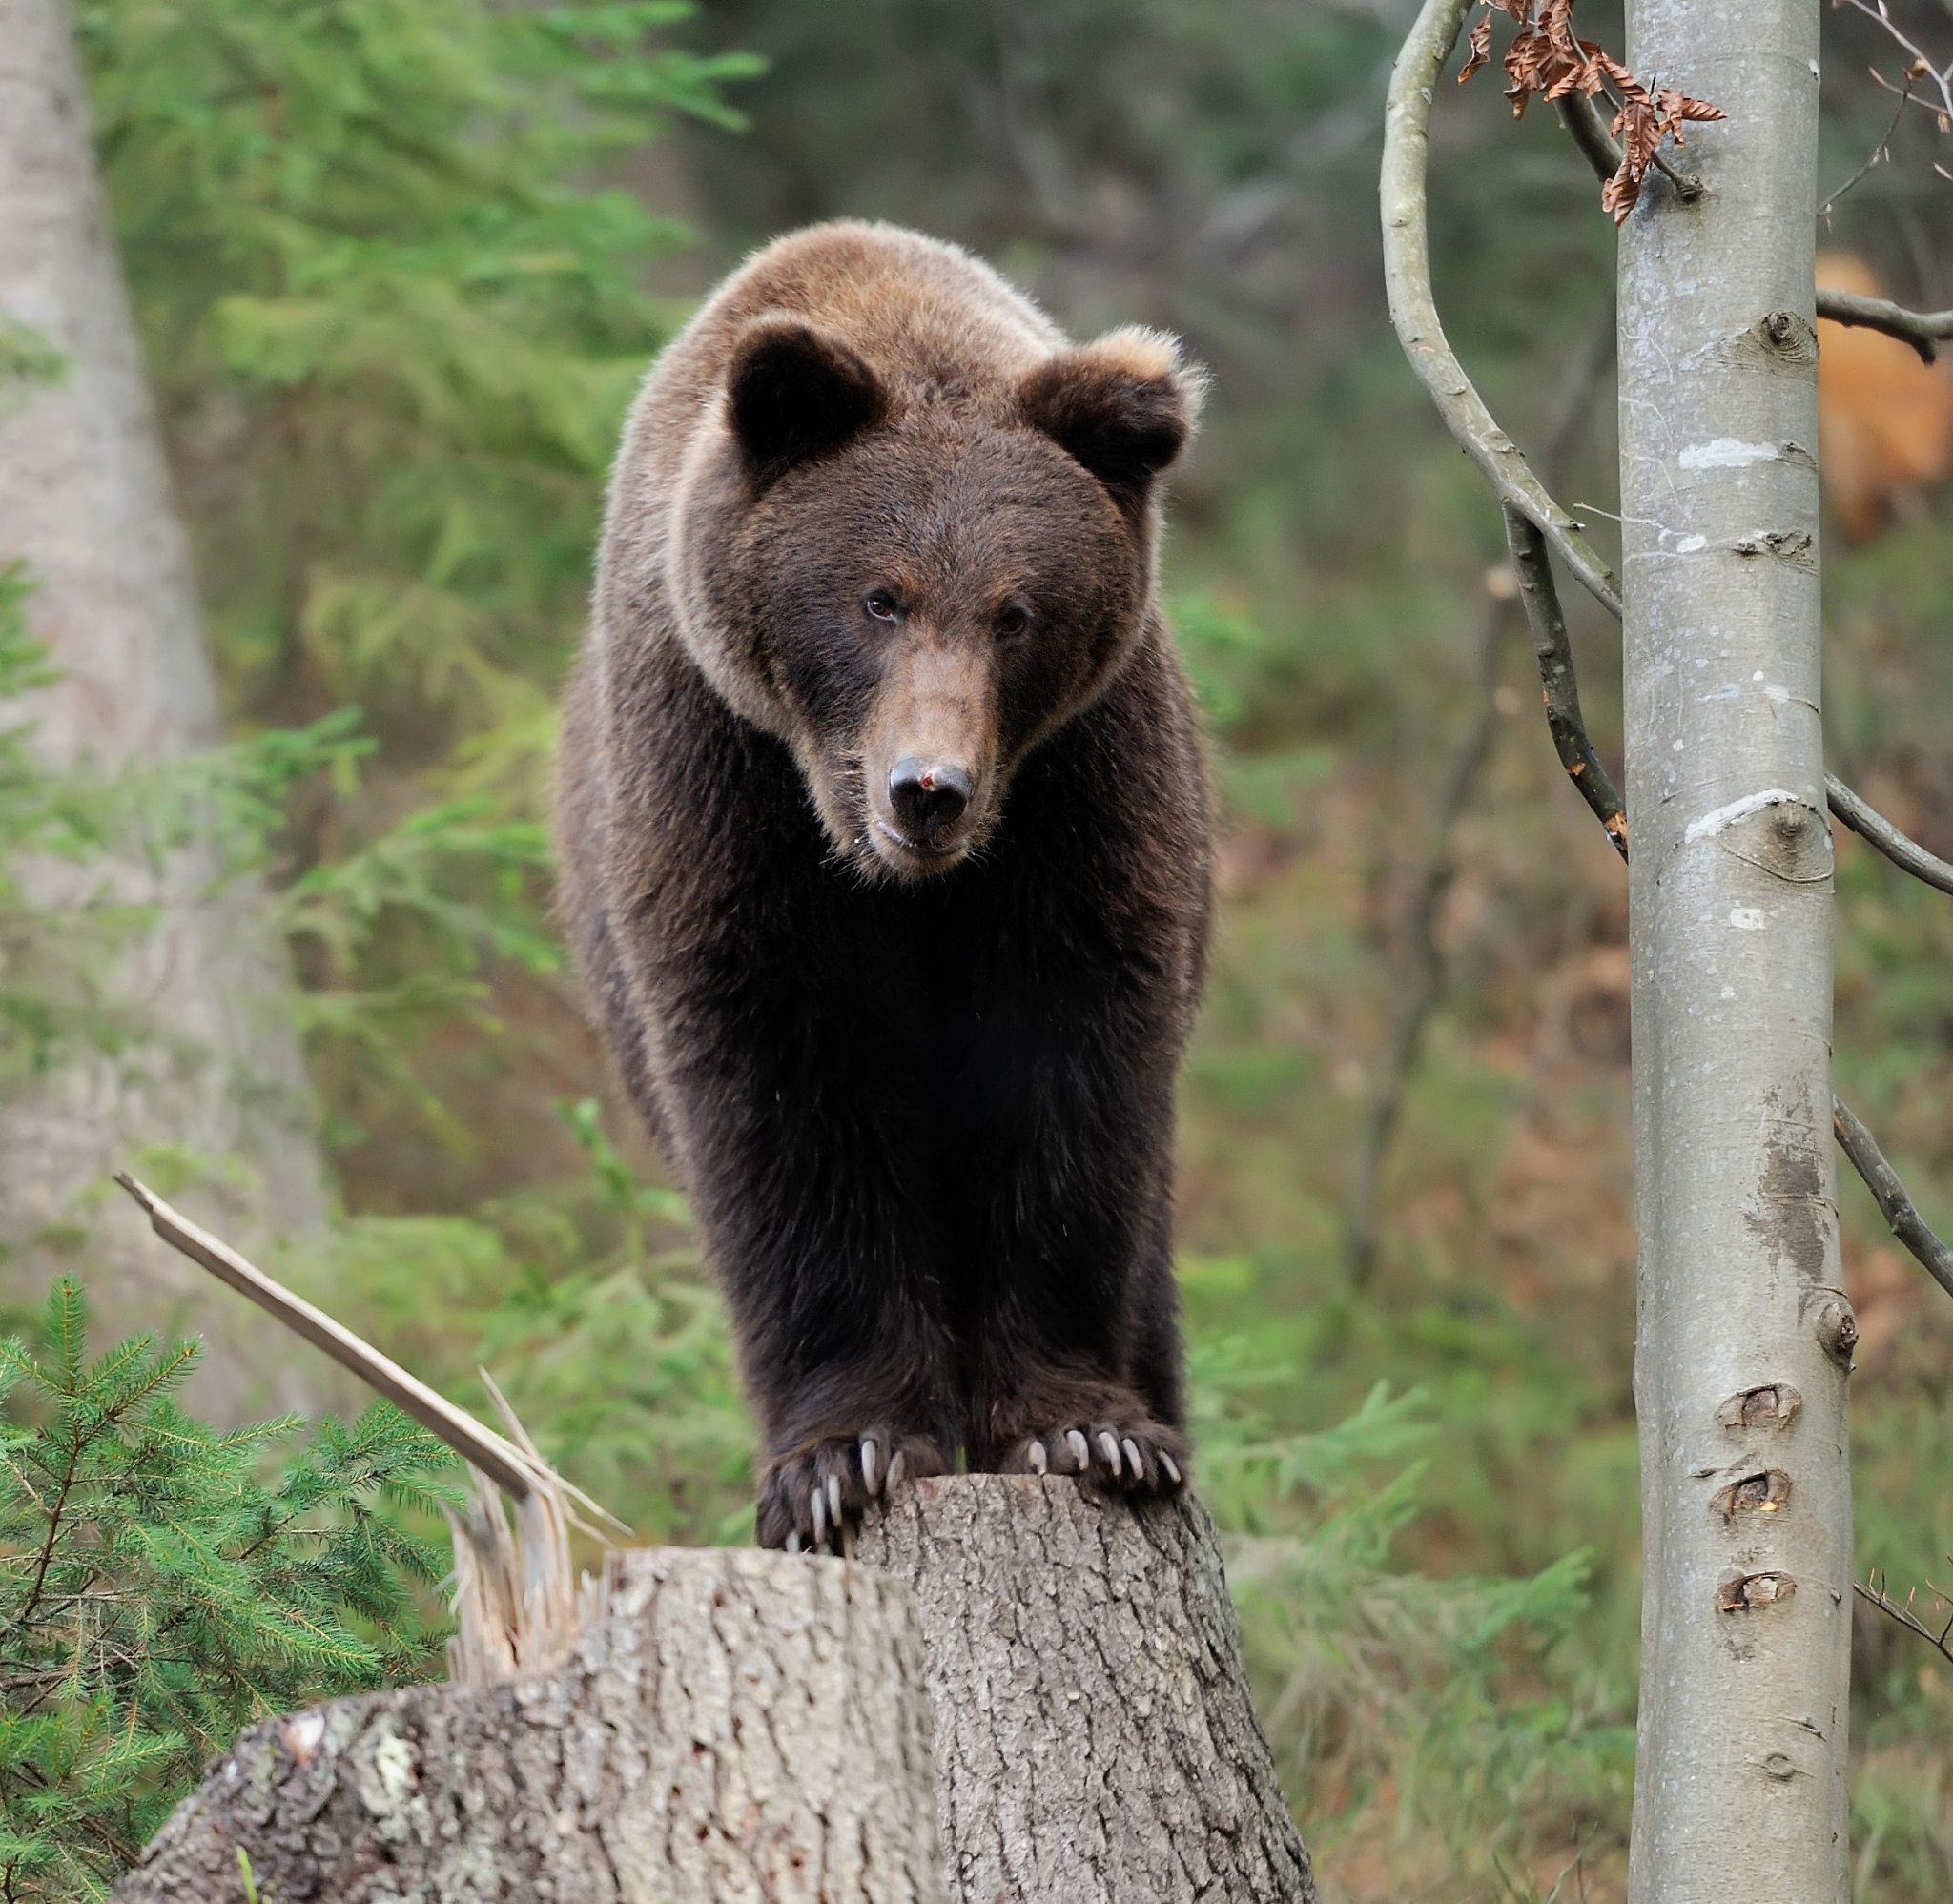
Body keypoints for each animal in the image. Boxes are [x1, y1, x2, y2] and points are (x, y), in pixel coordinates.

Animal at [556, 221, 1213, 1550]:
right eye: (878, 596)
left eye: (1016, 611)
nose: (929, 789)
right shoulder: (720, 779)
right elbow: (787, 1099)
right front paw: (839, 1457)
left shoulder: (1078, 794)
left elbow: (1065, 1073)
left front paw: (1086, 1427)